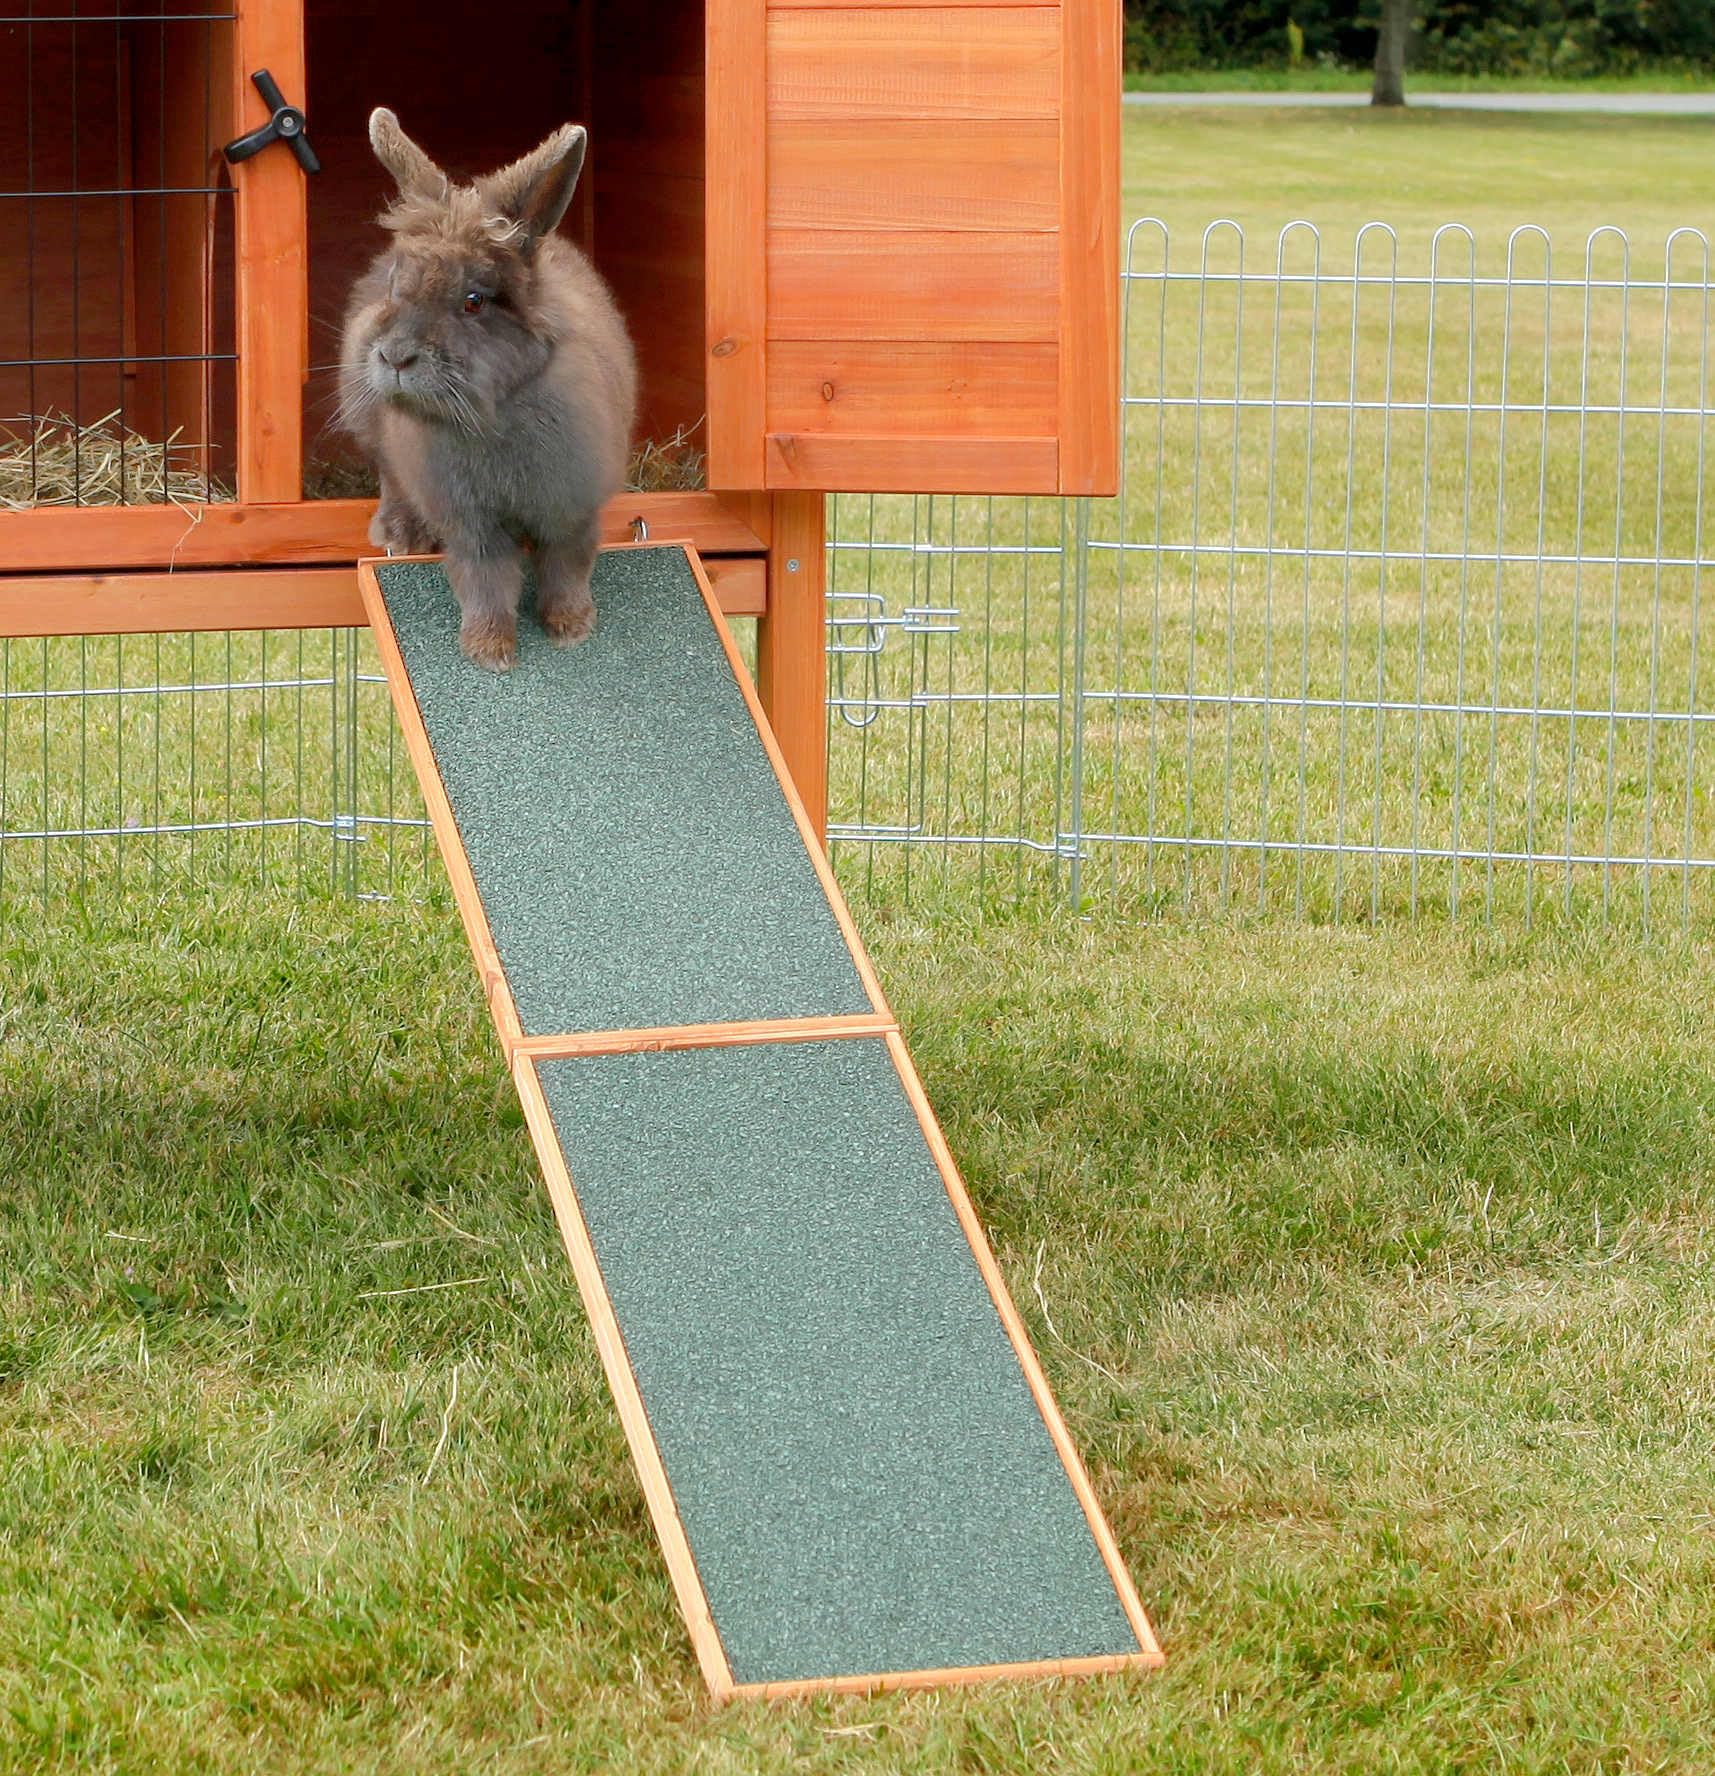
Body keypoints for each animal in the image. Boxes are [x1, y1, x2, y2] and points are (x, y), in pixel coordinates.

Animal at [339, 109, 637, 671]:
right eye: (396, 287)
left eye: (474, 300)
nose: (394, 357)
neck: (494, 412)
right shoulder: (470, 523)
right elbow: (485, 582)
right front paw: (490, 651)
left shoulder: (571, 509)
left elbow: (567, 567)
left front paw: (571, 629)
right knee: (390, 478)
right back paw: (398, 534)